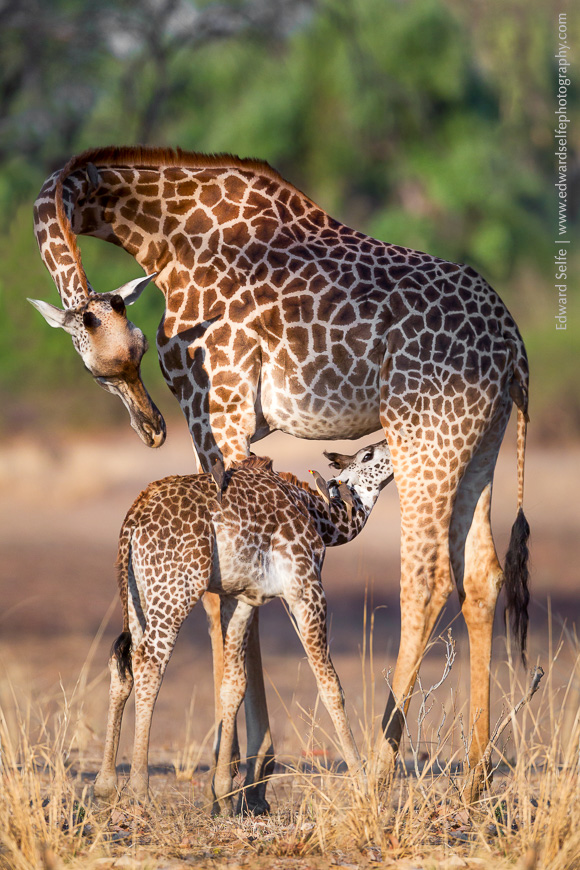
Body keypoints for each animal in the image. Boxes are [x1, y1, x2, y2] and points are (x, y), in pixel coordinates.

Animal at [93, 443, 395, 811]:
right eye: (368, 455)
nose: (392, 445)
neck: (320, 515)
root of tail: (134, 517)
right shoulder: (305, 586)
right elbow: (330, 686)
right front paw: (363, 786)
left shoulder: (242, 597)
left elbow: (233, 684)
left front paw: (223, 792)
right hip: (175, 590)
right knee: (149, 664)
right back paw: (140, 791)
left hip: (139, 594)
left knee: (122, 663)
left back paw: (105, 786)